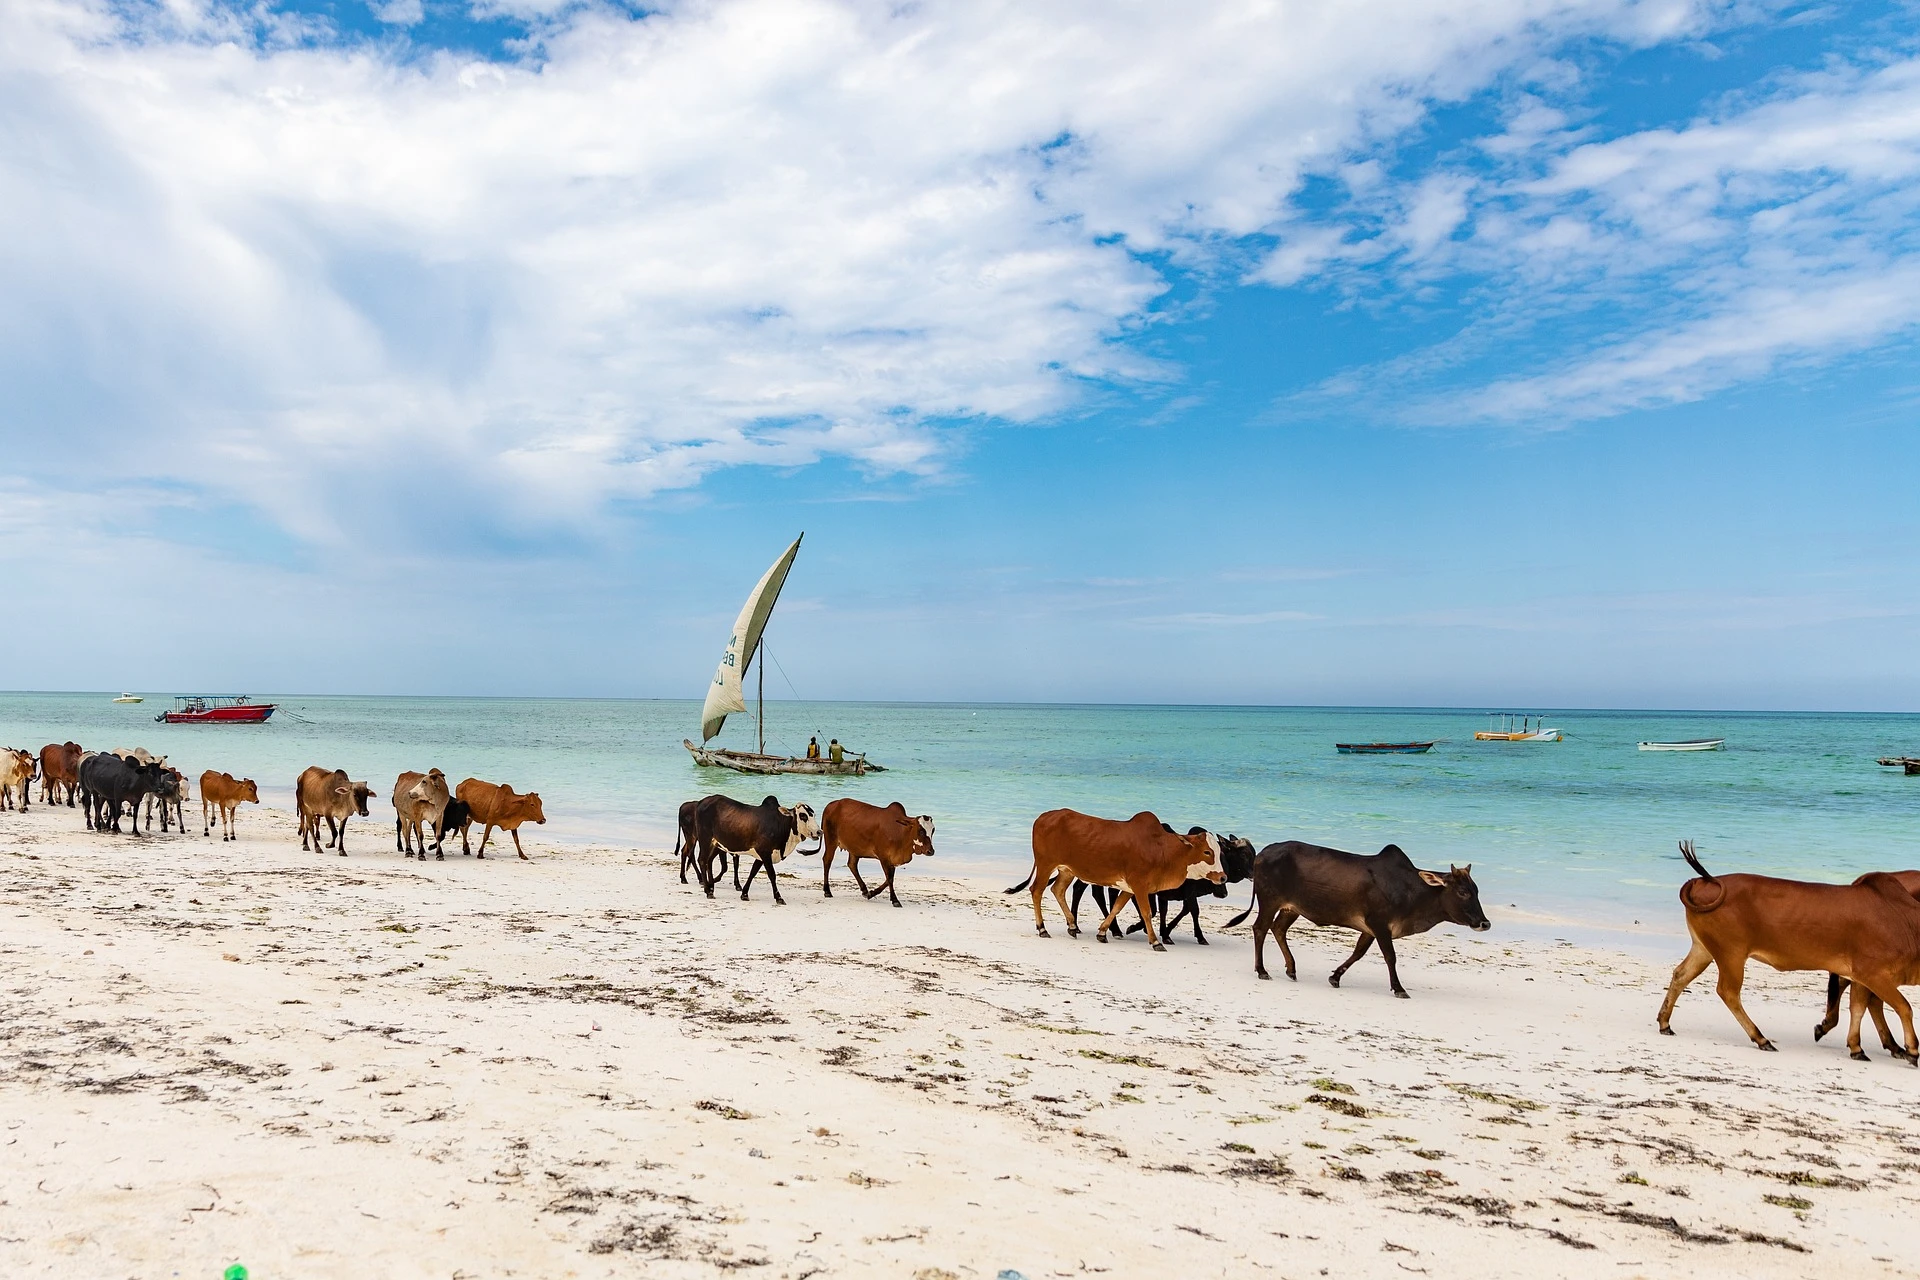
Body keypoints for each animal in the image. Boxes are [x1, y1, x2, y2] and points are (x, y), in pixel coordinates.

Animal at [1013, 809, 1221, 951]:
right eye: (1207, 852)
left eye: (1219, 852)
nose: (1223, 876)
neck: (1160, 849)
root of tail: (1043, 817)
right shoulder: (1139, 886)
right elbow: (1146, 913)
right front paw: (1155, 941)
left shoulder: (1130, 888)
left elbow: (1116, 908)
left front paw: (1102, 932)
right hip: (1046, 864)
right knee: (1037, 890)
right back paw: (1042, 929)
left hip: (1067, 870)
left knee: (1057, 890)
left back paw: (1072, 926)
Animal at [1221, 840, 1489, 997]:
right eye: (1463, 892)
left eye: (1476, 890)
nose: (1485, 923)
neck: (1411, 890)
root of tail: (1262, 853)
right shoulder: (1380, 925)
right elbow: (1390, 957)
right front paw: (1399, 988)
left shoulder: (1369, 928)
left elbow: (1358, 953)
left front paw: (1335, 977)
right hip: (1269, 901)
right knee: (1260, 928)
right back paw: (1262, 970)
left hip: (1291, 908)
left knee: (1278, 929)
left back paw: (1291, 969)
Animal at [1651, 844, 1920, 1066]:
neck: (1906, 921)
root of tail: (1707, 880)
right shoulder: (1872, 974)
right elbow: (1903, 1007)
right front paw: (1911, 1050)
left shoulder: (1863, 977)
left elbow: (1859, 1007)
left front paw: (1857, 1047)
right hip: (1731, 954)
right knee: (1728, 992)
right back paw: (1761, 1038)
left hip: (1704, 949)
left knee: (1681, 975)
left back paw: (1665, 1022)